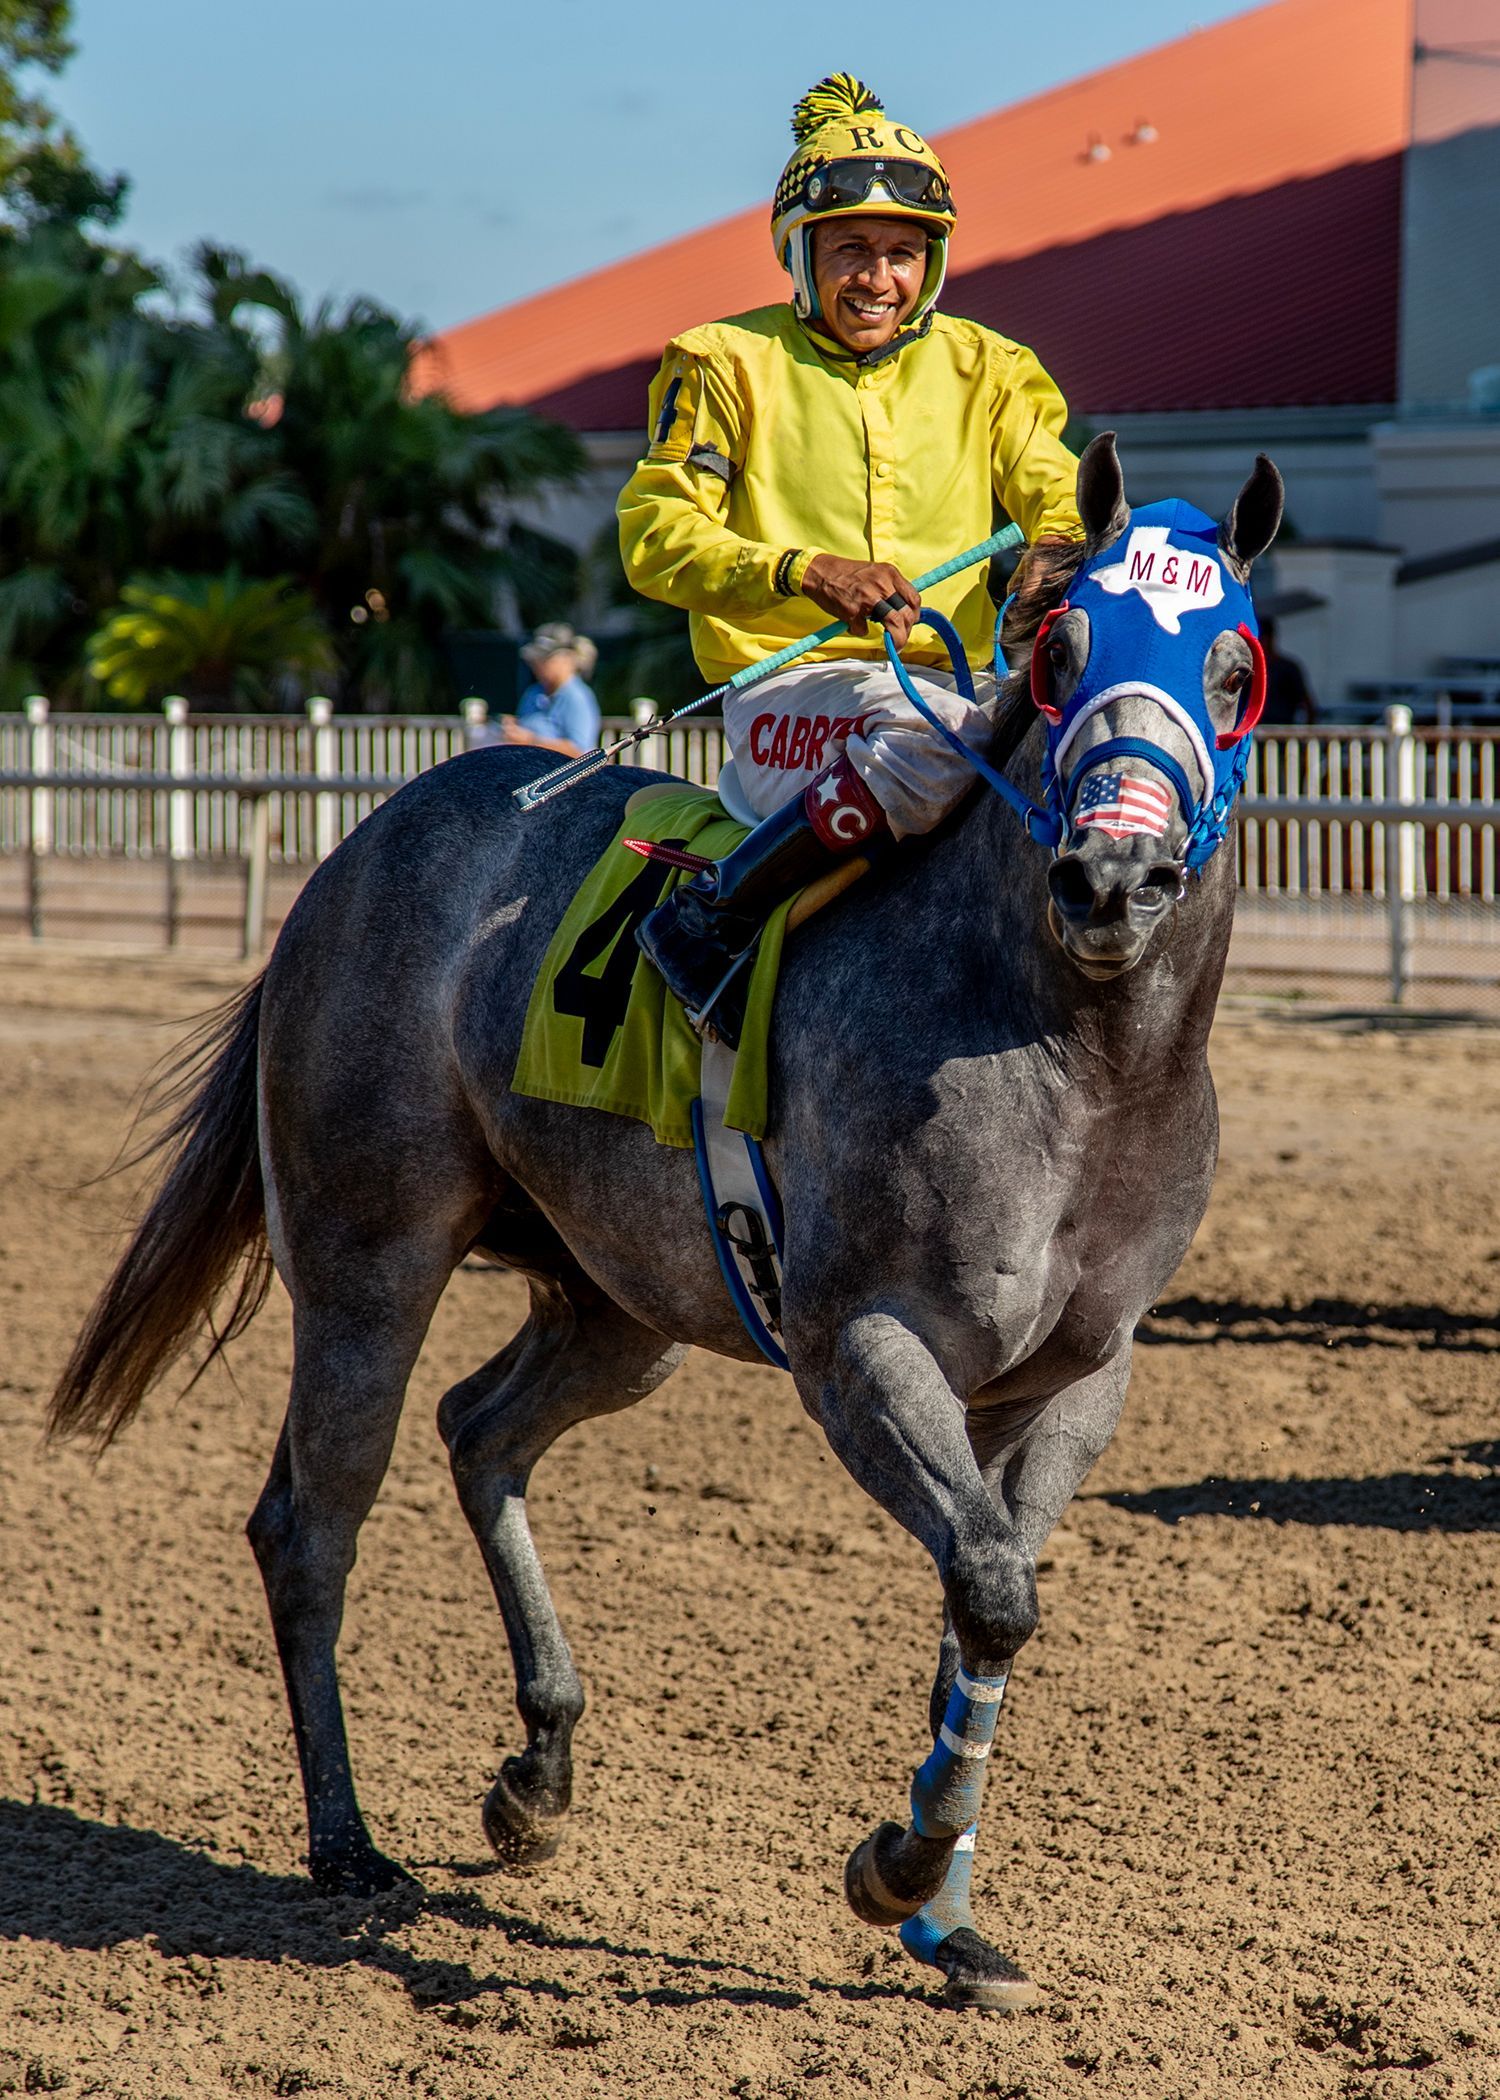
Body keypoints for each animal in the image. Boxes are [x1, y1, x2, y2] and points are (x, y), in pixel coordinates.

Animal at [49, 433, 1283, 2011]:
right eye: (1063, 652)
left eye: (1234, 670)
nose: (1113, 879)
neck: (1073, 1050)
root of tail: (368, 842)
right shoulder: (859, 1347)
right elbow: (994, 1595)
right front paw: (895, 1872)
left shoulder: (1079, 1378)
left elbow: (981, 1601)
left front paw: (950, 1921)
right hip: (366, 1254)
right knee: (310, 1522)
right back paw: (345, 1844)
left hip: (620, 1301)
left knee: (480, 1432)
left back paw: (537, 1771)